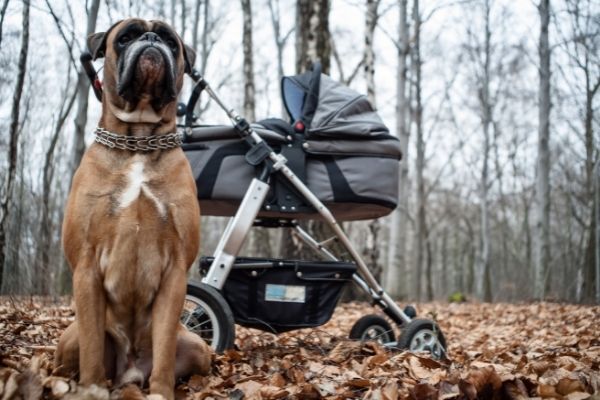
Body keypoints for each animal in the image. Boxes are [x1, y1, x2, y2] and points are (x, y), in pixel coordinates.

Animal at [56, 18, 211, 400]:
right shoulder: (85, 266)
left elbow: (165, 346)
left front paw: (161, 391)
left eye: (171, 42)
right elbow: (93, 345)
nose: (152, 39)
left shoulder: (175, 273)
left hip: (199, 347)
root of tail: (129, 372)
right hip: (68, 340)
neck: (138, 141)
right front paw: (92, 389)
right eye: (125, 37)